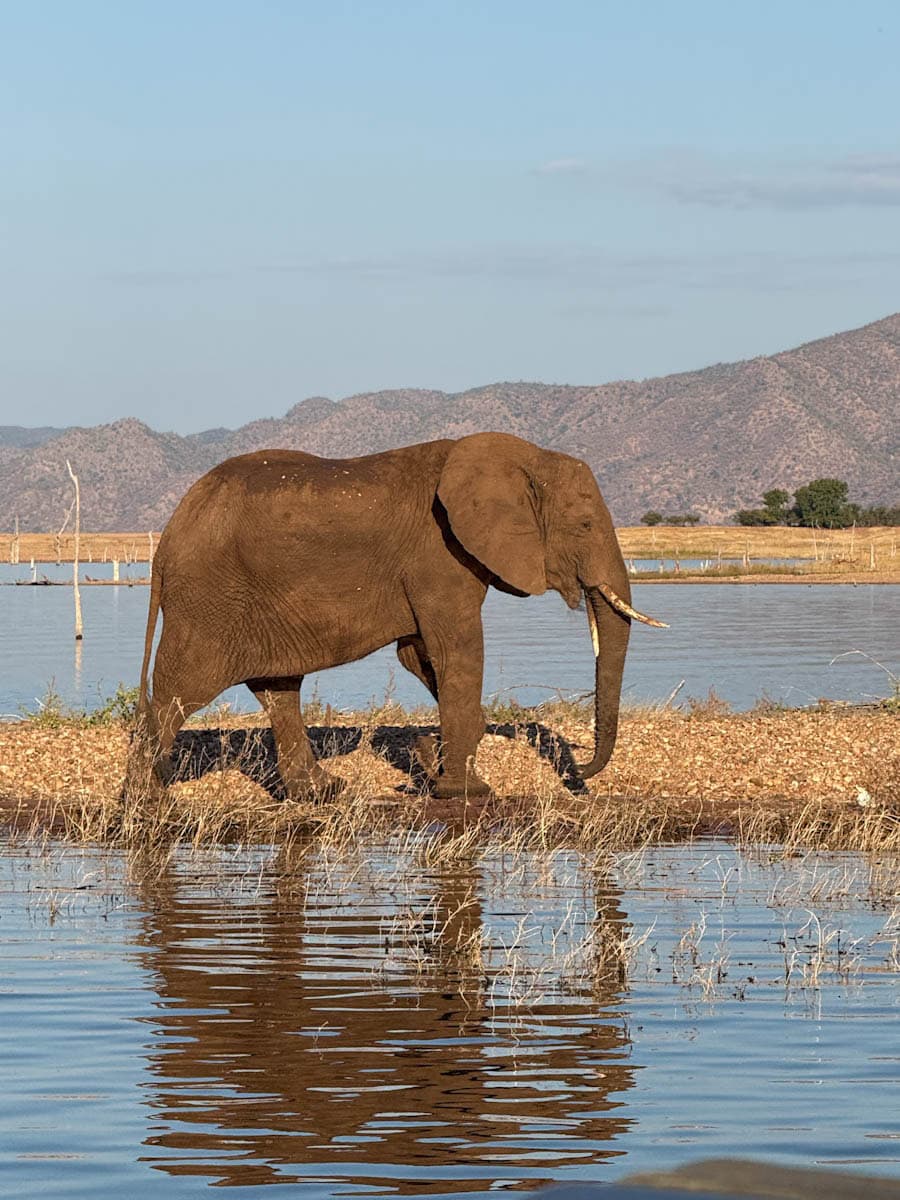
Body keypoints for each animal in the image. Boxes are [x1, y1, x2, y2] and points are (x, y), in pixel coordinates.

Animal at [127, 432, 664, 802]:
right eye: (586, 525)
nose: (583, 776)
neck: (522, 456)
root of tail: (166, 538)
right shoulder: (439, 553)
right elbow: (457, 652)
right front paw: (467, 791)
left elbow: (421, 656)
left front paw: (441, 768)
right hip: (209, 598)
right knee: (181, 689)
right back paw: (145, 802)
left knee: (278, 688)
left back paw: (323, 792)